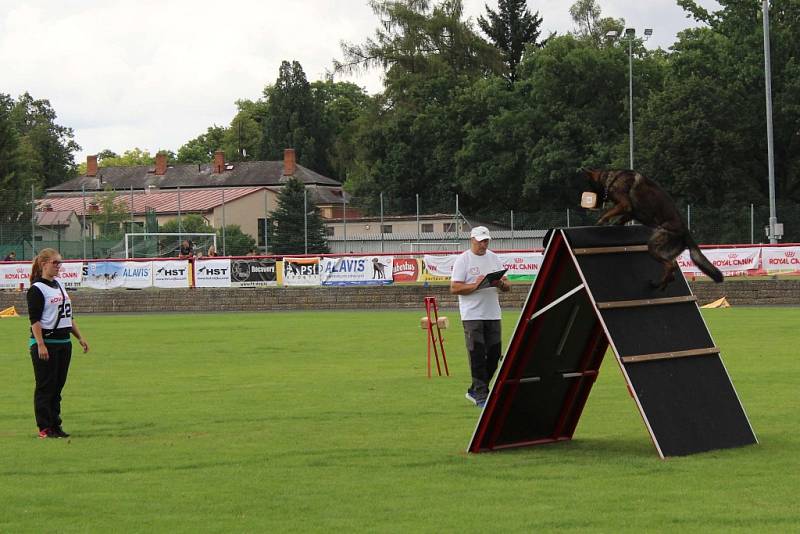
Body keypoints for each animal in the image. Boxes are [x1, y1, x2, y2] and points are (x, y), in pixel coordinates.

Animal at [580, 171, 724, 288]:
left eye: (590, 187)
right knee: (672, 270)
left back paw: (658, 285)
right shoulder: (630, 213)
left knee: (670, 266)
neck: (612, 178)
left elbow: (608, 213)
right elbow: (621, 219)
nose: (590, 203)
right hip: (664, 251)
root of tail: (686, 232)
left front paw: (600, 221)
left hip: (654, 244)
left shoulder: (625, 205)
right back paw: (661, 284)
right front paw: (613, 224)